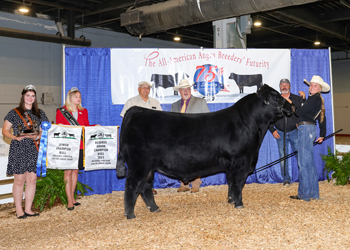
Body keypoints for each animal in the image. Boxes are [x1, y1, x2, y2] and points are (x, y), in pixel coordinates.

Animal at [116, 84, 294, 219]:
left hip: (149, 167)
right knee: (132, 186)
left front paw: (230, 200)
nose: (292, 106)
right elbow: (238, 184)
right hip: (139, 165)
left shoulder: (231, 166)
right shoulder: (241, 162)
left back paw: (154, 208)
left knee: (145, 187)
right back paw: (130, 215)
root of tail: (136, 110)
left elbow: (231, 183)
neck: (249, 124)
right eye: (276, 97)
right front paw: (239, 204)